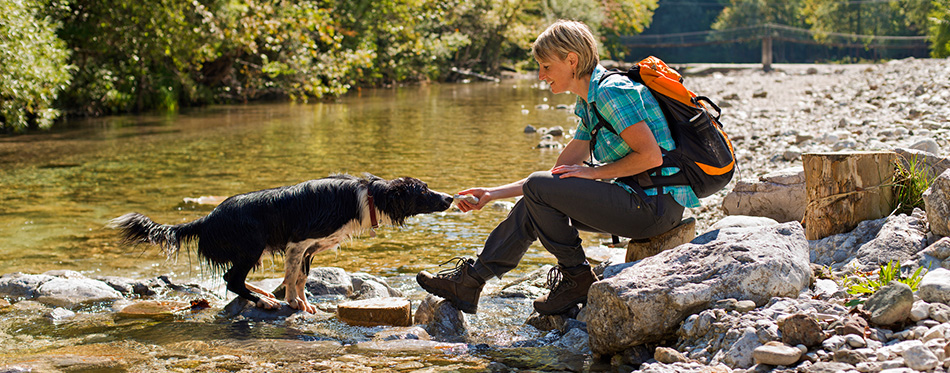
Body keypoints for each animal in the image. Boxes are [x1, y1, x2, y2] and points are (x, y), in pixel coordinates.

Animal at [111, 174, 454, 310]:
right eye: (423, 191)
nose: (450, 197)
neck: (367, 196)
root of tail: (206, 219)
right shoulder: (298, 241)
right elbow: (292, 276)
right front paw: (294, 304)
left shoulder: (310, 248)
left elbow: (299, 276)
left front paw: (303, 303)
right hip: (252, 244)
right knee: (232, 279)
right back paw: (264, 300)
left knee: (235, 280)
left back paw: (262, 293)